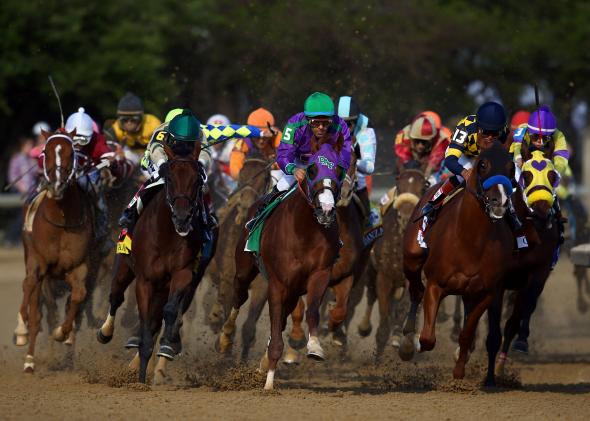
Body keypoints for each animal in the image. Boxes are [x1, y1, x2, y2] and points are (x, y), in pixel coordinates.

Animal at [14, 130, 97, 370]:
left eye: (72, 153)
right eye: (45, 152)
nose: (57, 186)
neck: (60, 221)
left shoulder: (79, 266)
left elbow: (79, 295)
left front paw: (62, 333)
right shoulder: (39, 262)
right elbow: (30, 289)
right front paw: (22, 332)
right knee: (34, 300)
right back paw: (28, 356)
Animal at [97, 142, 208, 384]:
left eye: (197, 179)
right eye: (170, 178)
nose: (182, 217)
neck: (166, 233)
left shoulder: (183, 274)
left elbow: (170, 311)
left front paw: (165, 348)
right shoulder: (145, 280)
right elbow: (145, 321)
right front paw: (140, 380)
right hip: (123, 267)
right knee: (116, 296)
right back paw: (105, 332)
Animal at [219, 143, 346, 388]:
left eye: (339, 170)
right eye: (312, 169)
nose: (326, 209)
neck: (305, 231)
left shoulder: (319, 274)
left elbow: (312, 310)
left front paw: (314, 347)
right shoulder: (277, 283)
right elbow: (275, 325)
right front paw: (269, 382)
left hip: (294, 290)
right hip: (245, 269)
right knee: (239, 295)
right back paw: (226, 337)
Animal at [402, 143, 520, 378]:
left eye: (511, 167)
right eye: (482, 164)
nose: (500, 202)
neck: (470, 240)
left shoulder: (486, 292)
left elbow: (467, 332)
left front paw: (459, 367)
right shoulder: (436, 284)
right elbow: (427, 337)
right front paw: (417, 343)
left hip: (469, 292)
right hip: (412, 256)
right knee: (416, 290)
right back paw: (407, 338)